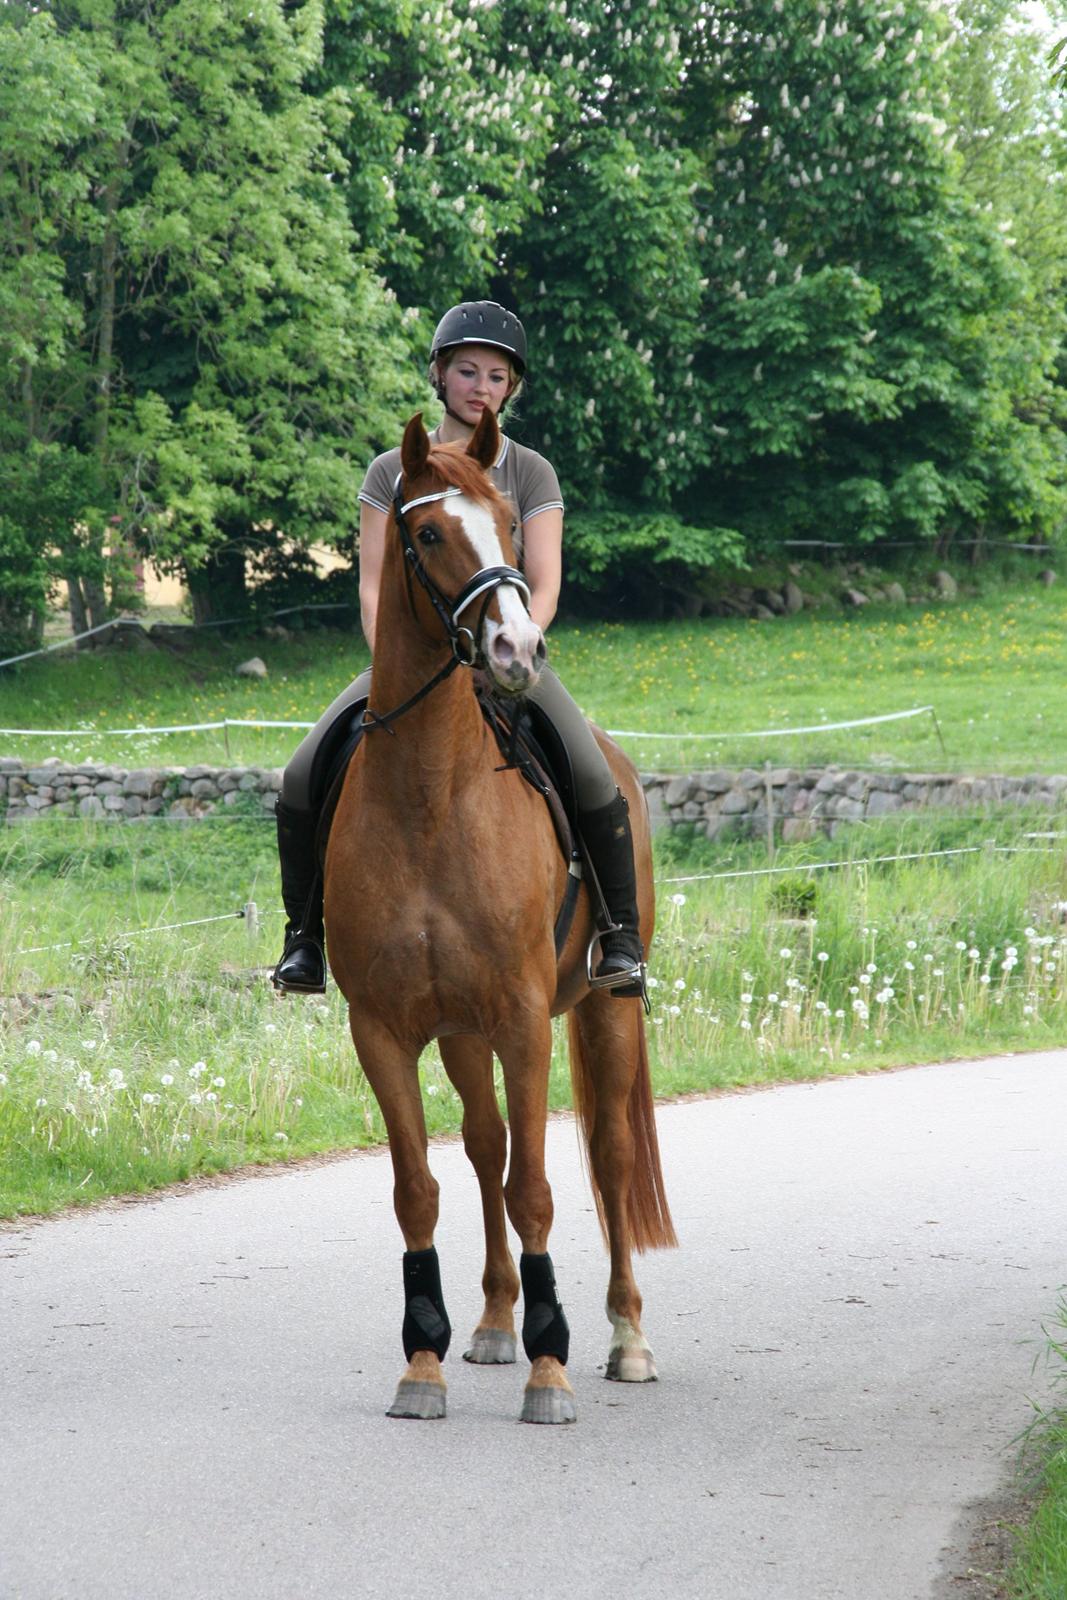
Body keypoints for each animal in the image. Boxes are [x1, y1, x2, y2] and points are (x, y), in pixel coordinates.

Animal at [323, 403, 675, 1427]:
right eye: (431, 535)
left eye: (514, 527)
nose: (516, 653)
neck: (430, 799)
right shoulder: (383, 1030)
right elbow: (419, 1189)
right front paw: (422, 1361)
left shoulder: (524, 1021)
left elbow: (539, 1191)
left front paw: (551, 1369)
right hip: (459, 1032)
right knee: (483, 1149)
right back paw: (486, 1324)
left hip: (602, 1009)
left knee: (605, 1157)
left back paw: (625, 1339)